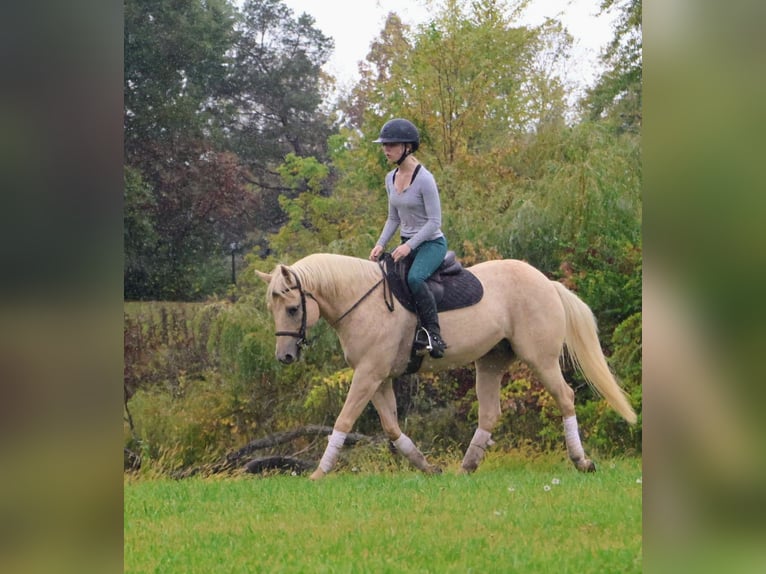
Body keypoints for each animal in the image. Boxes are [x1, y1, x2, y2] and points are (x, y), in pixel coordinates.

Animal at [256, 253, 637, 480]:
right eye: (272, 309)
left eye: (292, 308)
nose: (284, 357)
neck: (363, 301)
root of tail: (547, 282)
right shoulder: (378, 378)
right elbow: (392, 428)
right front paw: (428, 467)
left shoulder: (368, 375)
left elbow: (344, 421)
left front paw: (319, 473)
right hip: (491, 361)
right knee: (490, 413)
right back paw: (466, 467)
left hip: (540, 360)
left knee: (566, 398)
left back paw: (582, 461)